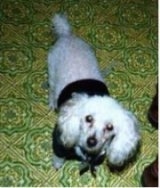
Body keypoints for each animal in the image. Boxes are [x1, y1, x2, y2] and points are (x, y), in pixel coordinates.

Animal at [47, 13, 140, 175]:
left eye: (110, 127)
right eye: (88, 118)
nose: (92, 141)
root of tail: (67, 35)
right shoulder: (59, 140)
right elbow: (58, 156)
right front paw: (57, 164)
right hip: (52, 72)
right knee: (52, 90)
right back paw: (52, 102)